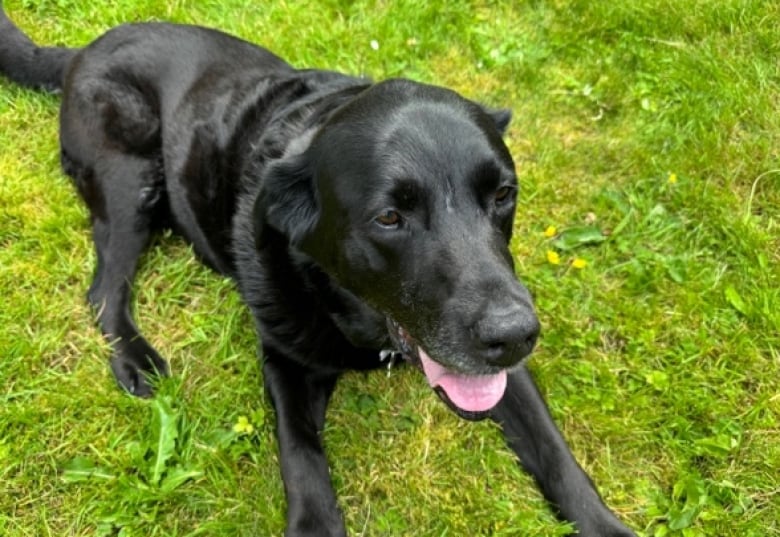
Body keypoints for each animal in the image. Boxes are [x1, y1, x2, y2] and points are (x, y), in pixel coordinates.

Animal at [0, 8, 636, 536]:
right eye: (389, 216)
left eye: (503, 195)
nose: (515, 335)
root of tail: (81, 50)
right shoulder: (284, 358)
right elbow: (301, 454)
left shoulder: (506, 367)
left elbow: (556, 452)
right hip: (128, 178)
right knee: (105, 287)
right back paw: (134, 356)